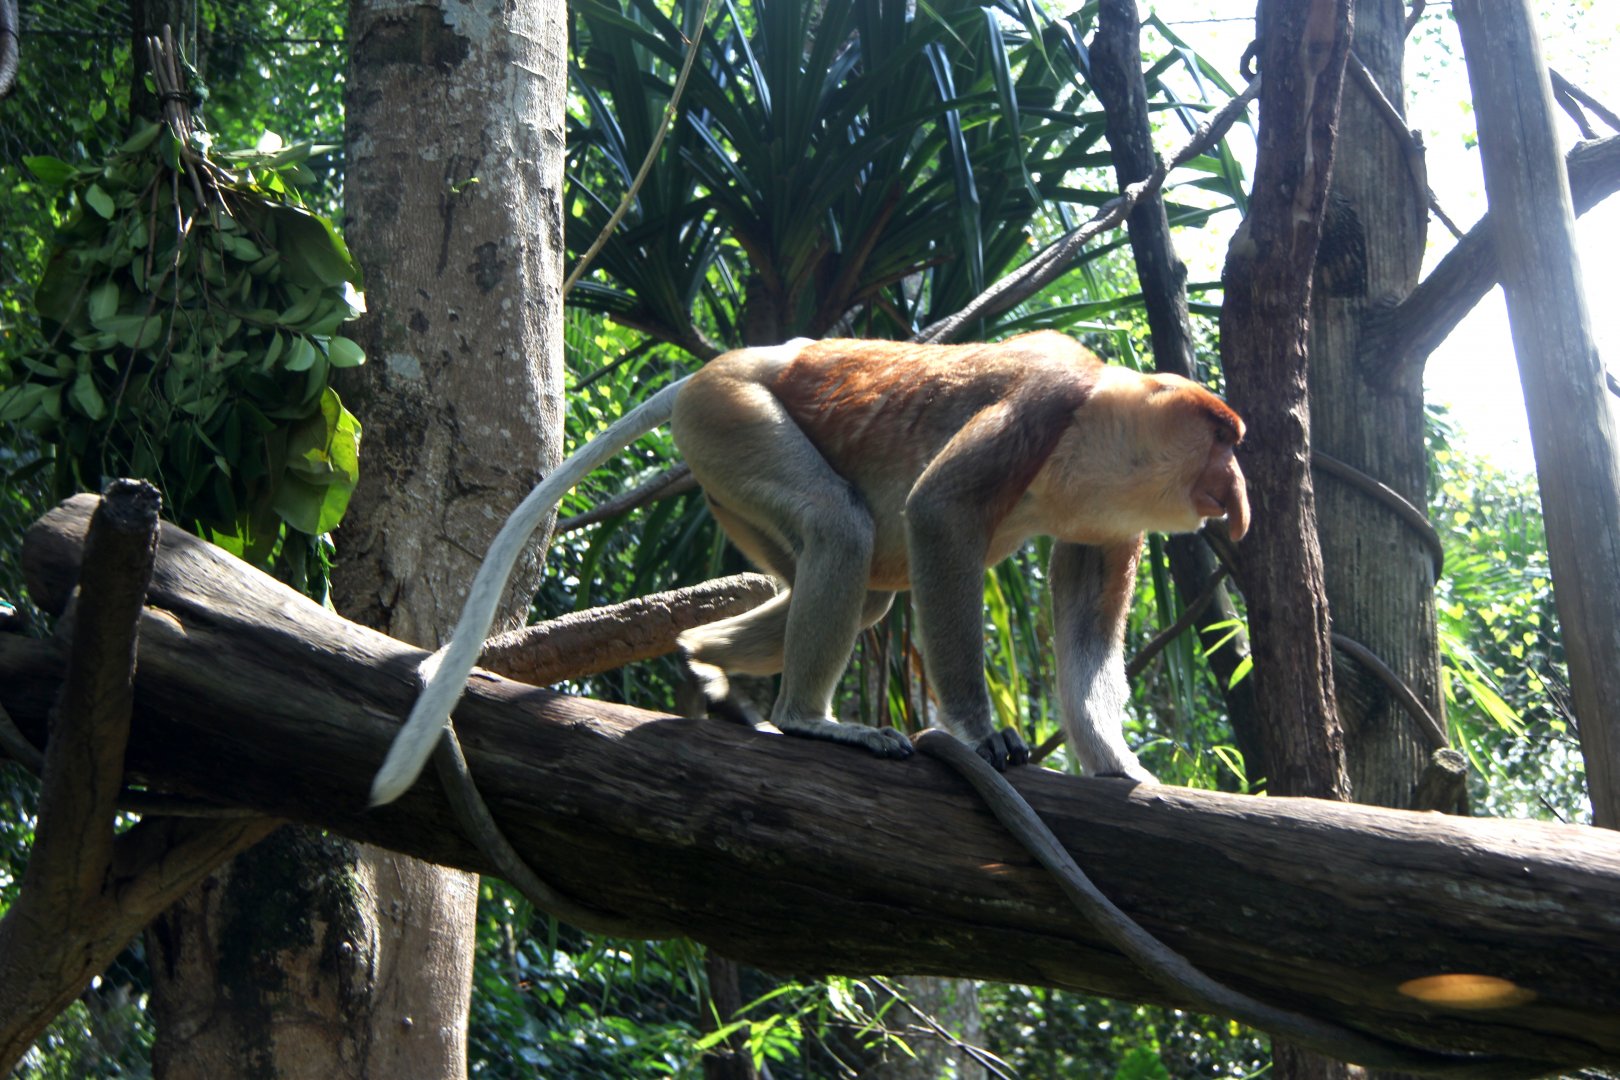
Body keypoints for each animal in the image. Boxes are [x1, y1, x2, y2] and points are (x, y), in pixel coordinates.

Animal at [369, 331, 1247, 806]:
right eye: (1224, 439)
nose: (1236, 494)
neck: (1100, 423)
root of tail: (716, 367)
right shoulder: (1045, 397)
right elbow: (939, 514)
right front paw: (985, 734)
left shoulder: (1110, 523)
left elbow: (1089, 624)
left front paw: (1121, 764)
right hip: (733, 418)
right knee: (841, 529)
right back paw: (806, 718)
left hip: (725, 476)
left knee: (857, 589)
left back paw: (707, 660)